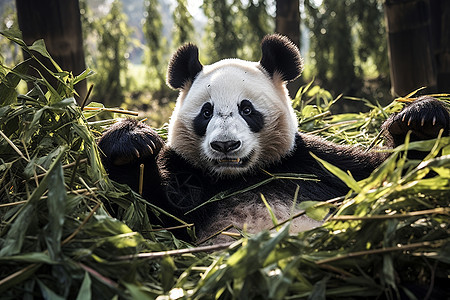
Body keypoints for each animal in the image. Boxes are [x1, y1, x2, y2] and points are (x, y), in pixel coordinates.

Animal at [99, 34, 450, 243]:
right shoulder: (189, 176)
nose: (225, 146)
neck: (241, 178)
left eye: (247, 109)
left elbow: (389, 177)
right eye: (206, 112)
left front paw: (421, 120)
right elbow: (151, 216)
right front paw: (131, 143)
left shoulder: (312, 163)